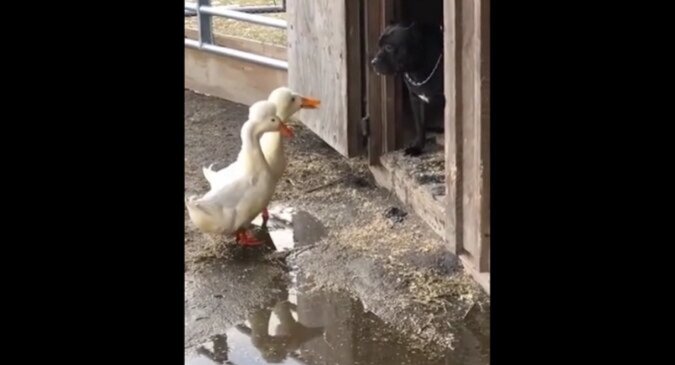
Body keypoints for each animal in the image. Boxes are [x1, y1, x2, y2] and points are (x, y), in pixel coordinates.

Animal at [370, 21, 444, 155]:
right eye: (379, 46)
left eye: (389, 47)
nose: (373, 62)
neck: (417, 70)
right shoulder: (416, 99)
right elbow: (420, 125)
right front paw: (417, 147)